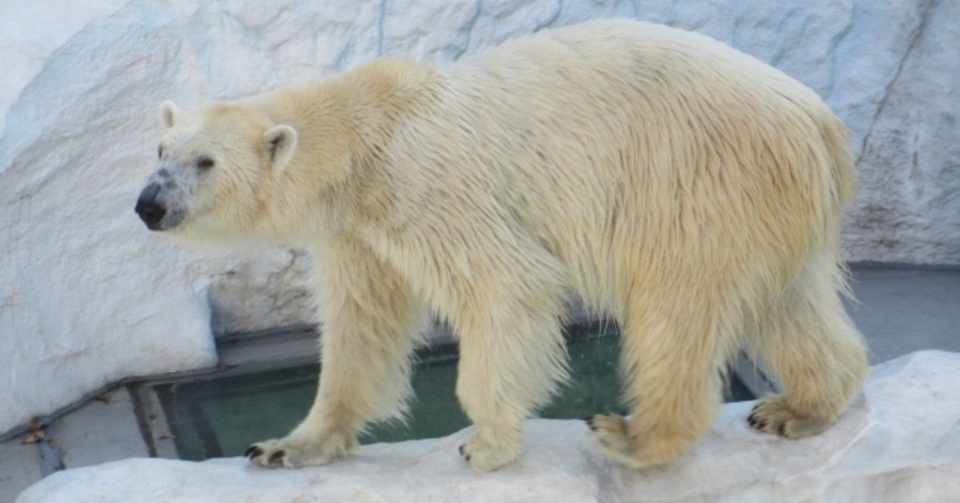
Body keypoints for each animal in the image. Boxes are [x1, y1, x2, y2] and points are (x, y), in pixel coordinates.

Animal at [137, 18, 872, 472]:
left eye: (204, 162)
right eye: (161, 149)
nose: (149, 204)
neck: (366, 130)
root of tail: (821, 122)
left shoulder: (426, 185)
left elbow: (505, 284)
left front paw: (485, 445)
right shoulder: (358, 230)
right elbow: (360, 329)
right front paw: (285, 446)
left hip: (700, 182)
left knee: (675, 307)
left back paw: (634, 434)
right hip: (770, 207)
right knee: (790, 305)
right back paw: (798, 407)